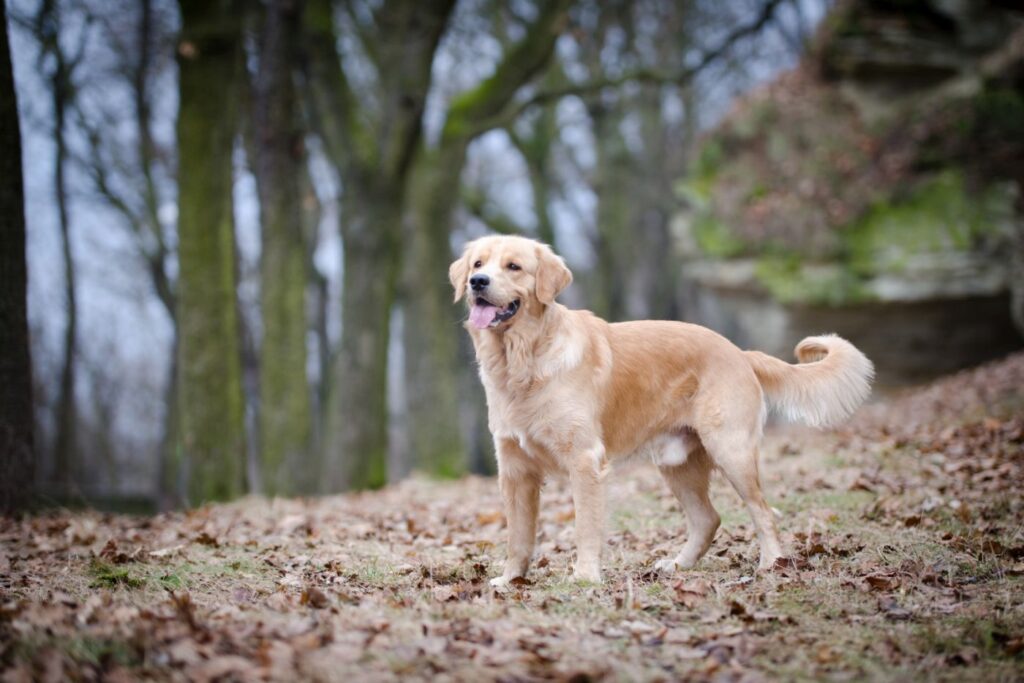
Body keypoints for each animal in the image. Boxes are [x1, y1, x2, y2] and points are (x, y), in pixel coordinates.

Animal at [448, 236, 872, 589]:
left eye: (513, 266)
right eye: (478, 263)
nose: (478, 282)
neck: (524, 359)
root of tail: (739, 352)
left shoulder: (584, 460)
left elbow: (585, 527)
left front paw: (584, 577)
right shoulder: (514, 468)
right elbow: (518, 536)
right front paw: (510, 580)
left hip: (730, 450)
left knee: (763, 512)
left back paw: (771, 564)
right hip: (677, 461)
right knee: (708, 519)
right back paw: (677, 565)